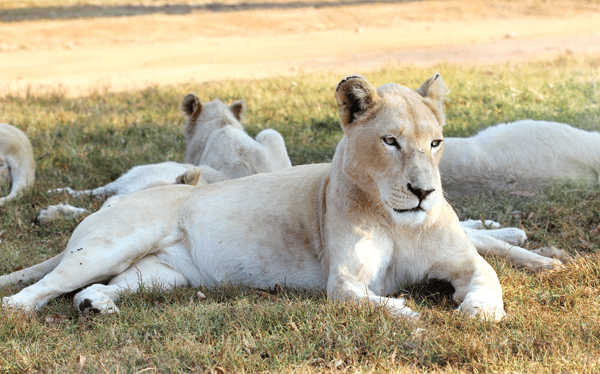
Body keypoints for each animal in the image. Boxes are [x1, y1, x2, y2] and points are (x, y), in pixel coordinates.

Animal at [1, 75, 506, 322]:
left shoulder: (464, 261)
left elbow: (490, 277)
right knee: (43, 287)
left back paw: (97, 306)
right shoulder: (344, 282)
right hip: (110, 246)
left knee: (97, 288)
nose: (424, 192)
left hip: (161, 276)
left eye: (436, 143)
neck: (399, 221)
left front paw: (480, 311)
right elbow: (368, 300)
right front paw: (404, 309)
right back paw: (21, 309)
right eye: (390, 142)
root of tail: (113, 202)